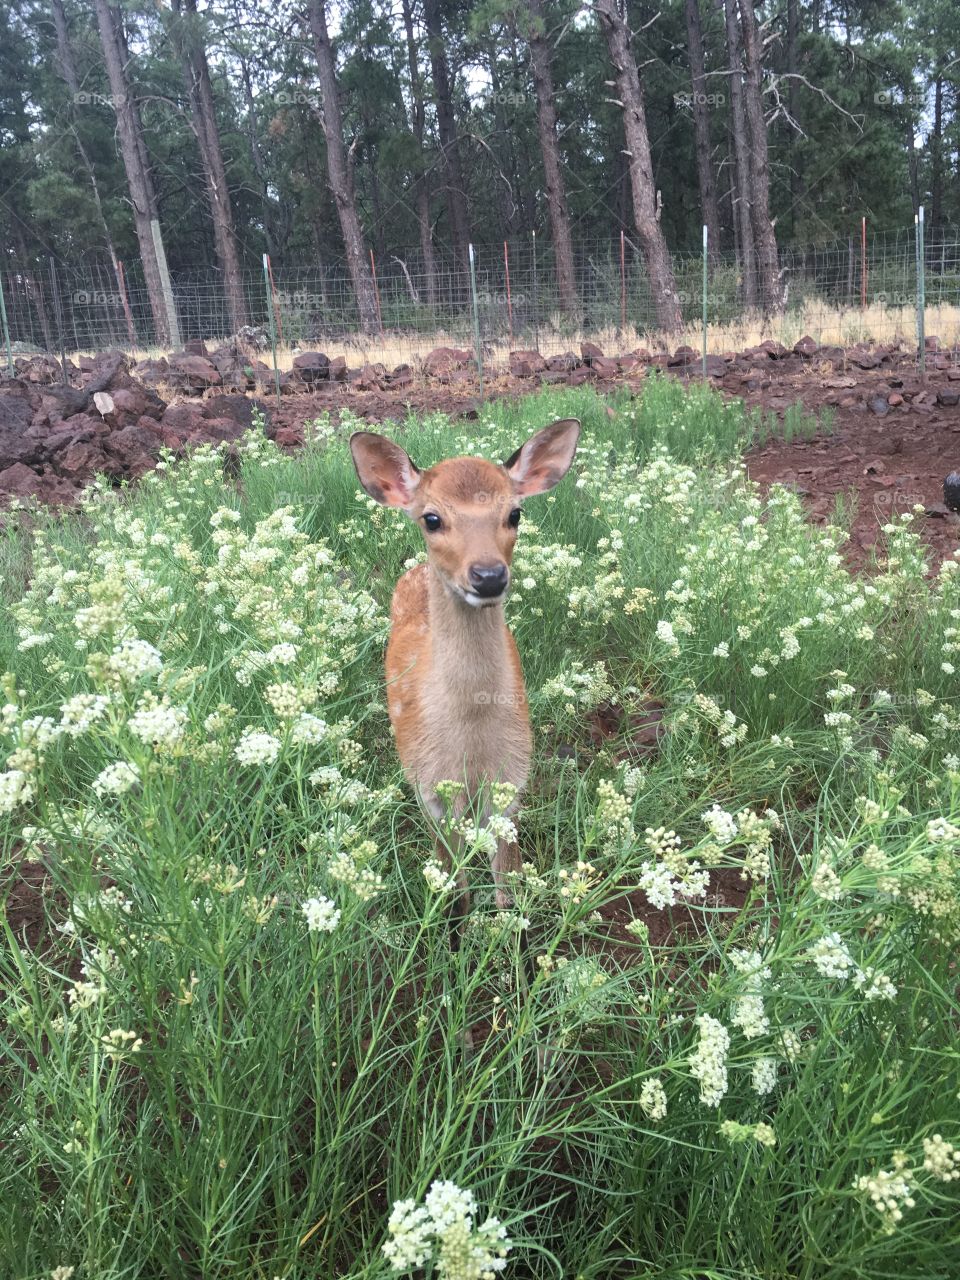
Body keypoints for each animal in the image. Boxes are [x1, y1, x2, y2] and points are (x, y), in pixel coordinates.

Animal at [350, 418, 581, 945]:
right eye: (431, 518)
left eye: (515, 513)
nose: (489, 575)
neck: (470, 744)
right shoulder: (427, 784)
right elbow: (451, 880)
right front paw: (452, 936)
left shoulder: (514, 779)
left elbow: (507, 886)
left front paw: (513, 943)